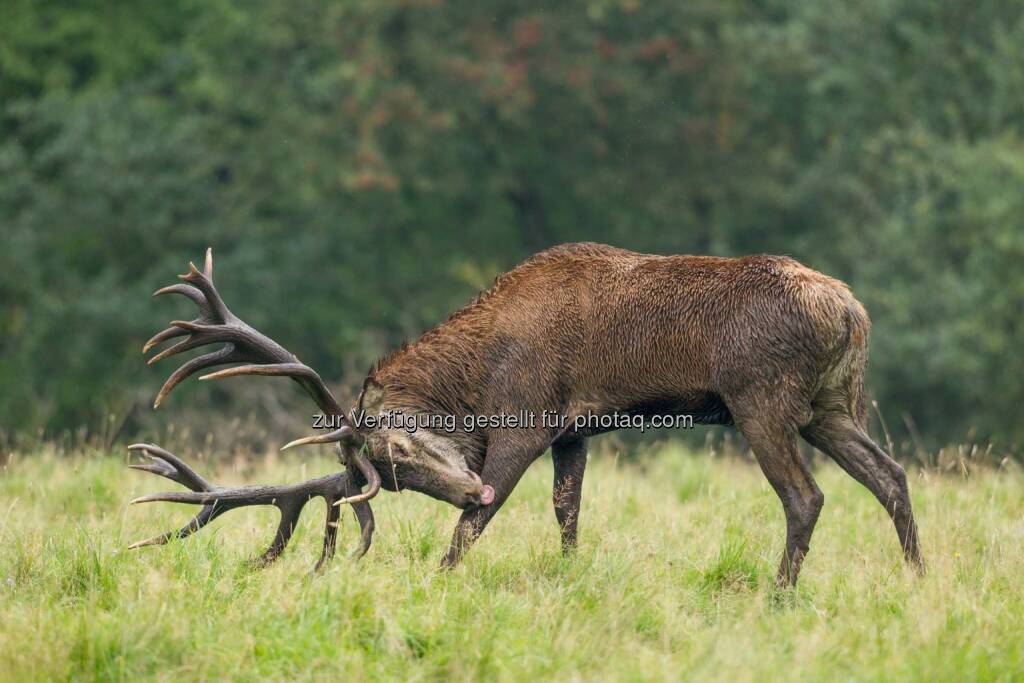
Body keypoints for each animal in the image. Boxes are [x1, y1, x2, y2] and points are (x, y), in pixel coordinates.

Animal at [128, 242, 921, 585]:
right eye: (396, 477)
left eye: (398, 455)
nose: (464, 484)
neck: (479, 370)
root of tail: (852, 311)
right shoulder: (578, 429)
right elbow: (567, 510)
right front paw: (568, 577)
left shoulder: (528, 416)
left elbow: (483, 519)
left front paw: (441, 577)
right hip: (829, 403)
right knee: (890, 474)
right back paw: (917, 575)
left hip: (762, 394)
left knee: (806, 496)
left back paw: (779, 594)